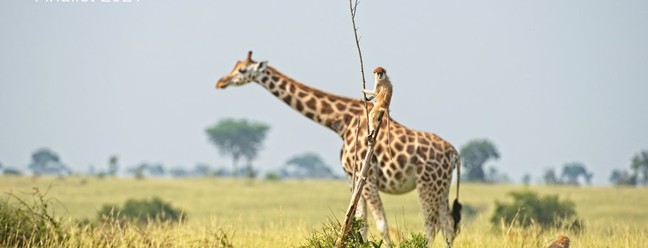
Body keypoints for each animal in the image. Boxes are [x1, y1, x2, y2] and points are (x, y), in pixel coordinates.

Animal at [215, 51, 464, 247]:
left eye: (242, 69)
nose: (220, 82)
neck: (341, 122)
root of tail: (454, 153)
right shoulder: (352, 176)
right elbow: (359, 222)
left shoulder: (367, 177)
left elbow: (381, 223)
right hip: (442, 187)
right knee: (448, 224)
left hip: (426, 184)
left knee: (431, 224)